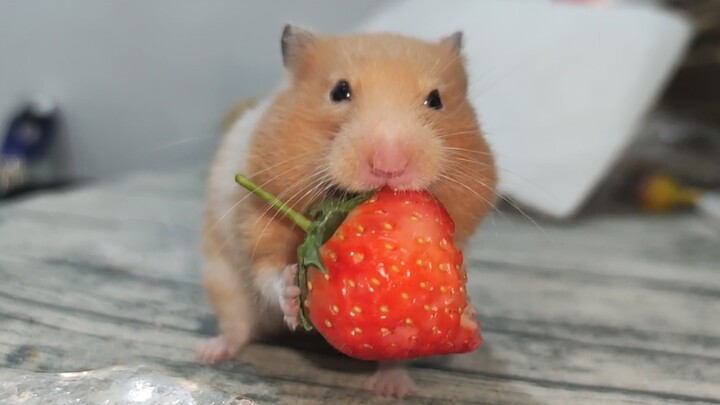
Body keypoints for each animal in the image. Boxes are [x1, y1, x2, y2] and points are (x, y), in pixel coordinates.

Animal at [196, 24, 498, 399]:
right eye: (339, 92)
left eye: (436, 99)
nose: (389, 165)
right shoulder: (256, 220)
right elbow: (268, 271)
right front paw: (293, 292)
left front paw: (468, 309)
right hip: (223, 283)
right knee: (237, 329)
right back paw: (208, 353)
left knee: (394, 357)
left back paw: (392, 387)